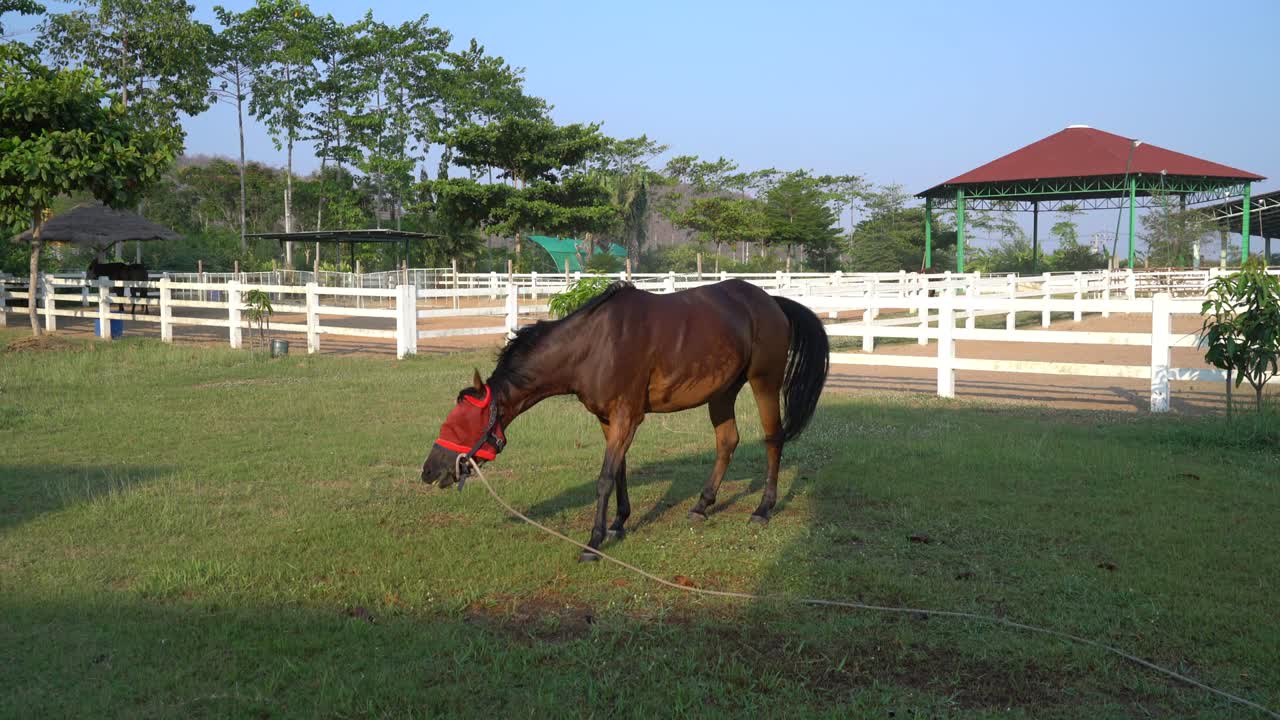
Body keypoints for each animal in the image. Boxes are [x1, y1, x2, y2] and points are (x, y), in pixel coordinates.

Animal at [420, 279, 830, 562]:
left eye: (462, 423)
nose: (428, 470)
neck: (594, 345)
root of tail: (771, 301)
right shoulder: (608, 419)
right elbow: (619, 472)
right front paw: (618, 523)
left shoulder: (625, 417)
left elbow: (604, 477)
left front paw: (593, 542)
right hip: (722, 391)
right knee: (727, 441)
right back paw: (701, 505)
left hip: (764, 383)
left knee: (773, 439)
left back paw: (763, 509)